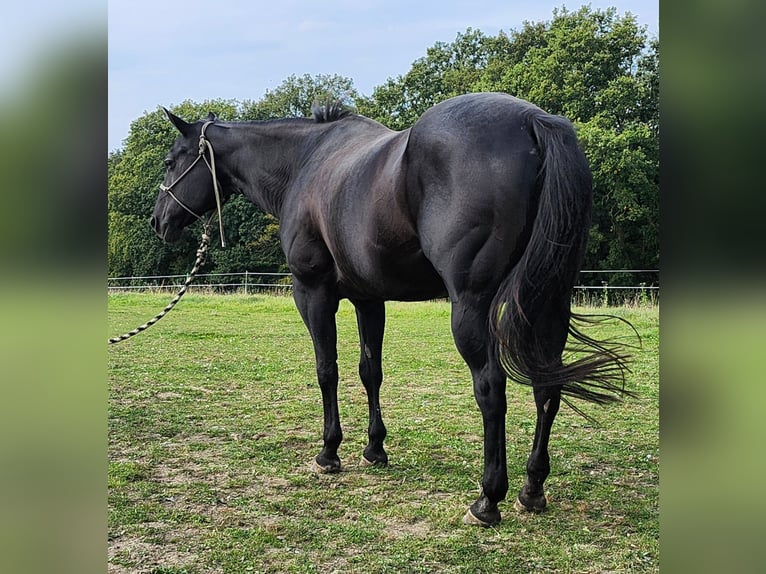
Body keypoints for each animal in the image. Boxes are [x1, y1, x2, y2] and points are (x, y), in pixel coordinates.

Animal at [150, 92, 631, 527]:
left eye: (172, 160)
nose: (158, 221)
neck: (305, 162)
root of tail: (533, 120)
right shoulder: (369, 299)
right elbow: (371, 371)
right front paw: (374, 449)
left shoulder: (313, 293)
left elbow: (327, 369)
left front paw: (329, 452)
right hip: (547, 301)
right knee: (547, 386)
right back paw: (531, 489)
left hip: (472, 307)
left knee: (492, 389)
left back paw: (487, 499)